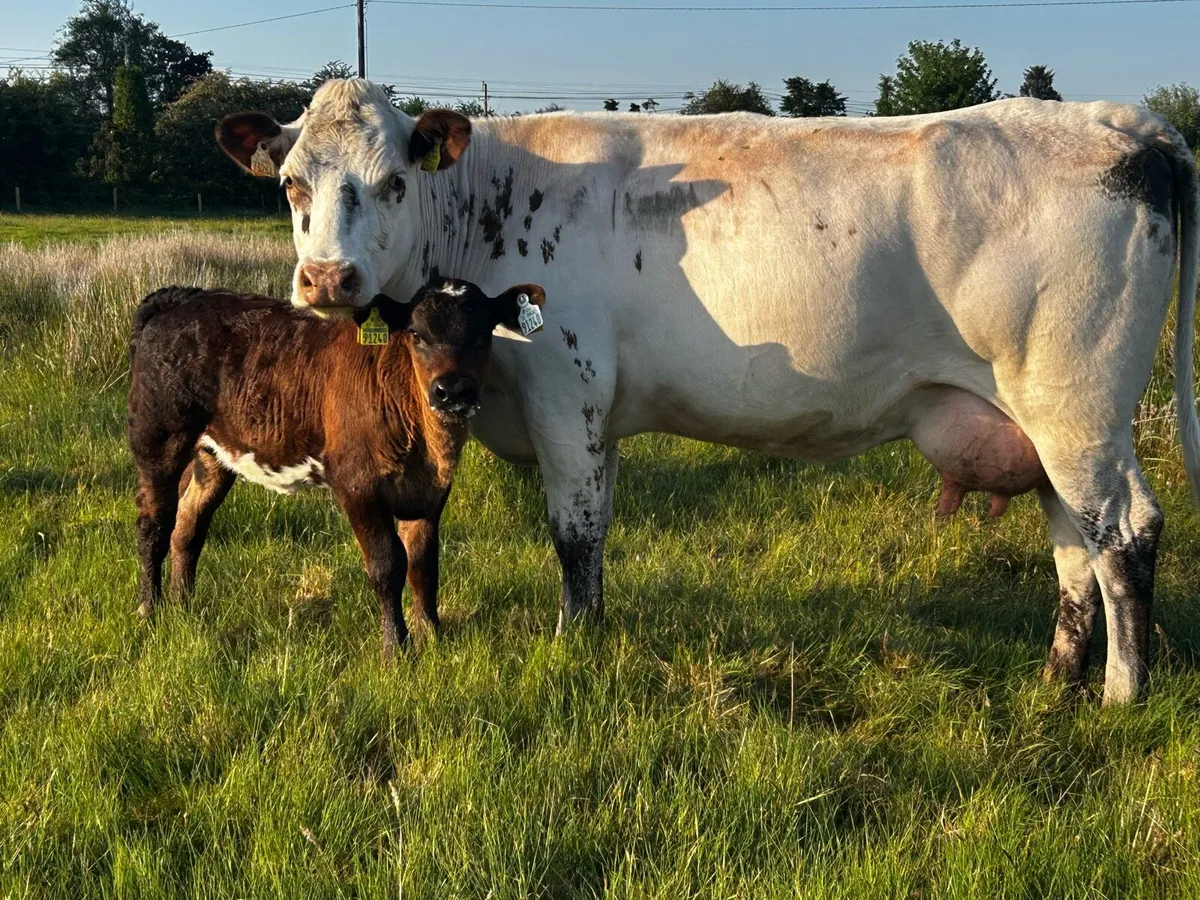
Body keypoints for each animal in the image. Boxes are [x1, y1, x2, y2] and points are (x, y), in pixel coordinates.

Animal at [127, 279, 547, 657]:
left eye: (484, 332)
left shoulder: (431, 492)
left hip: (213, 455)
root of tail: (182, 298)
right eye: (416, 333)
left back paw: (183, 606)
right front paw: (396, 648)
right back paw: (149, 609)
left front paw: (432, 634)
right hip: (158, 438)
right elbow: (387, 564)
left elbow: (424, 563)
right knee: (154, 524)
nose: (452, 391)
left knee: (189, 526)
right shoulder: (357, 484)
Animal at [216, 79, 1199, 703]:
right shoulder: (598, 419)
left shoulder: (565, 390)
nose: (327, 278)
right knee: (1073, 545)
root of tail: (1119, 122)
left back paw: (1122, 695)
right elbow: (597, 531)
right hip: (1046, 420)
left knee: (1124, 534)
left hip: (1077, 404)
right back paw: (1055, 680)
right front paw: (595, 632)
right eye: (292, 184)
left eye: (392, 182)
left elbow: (572, 534)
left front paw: (572, 648)